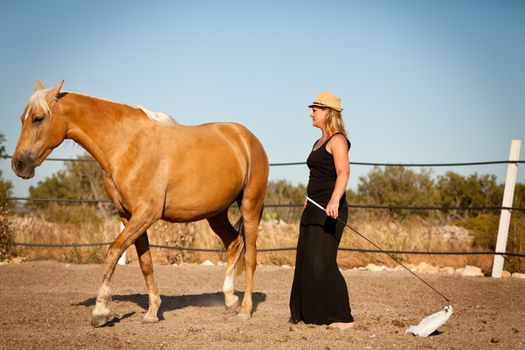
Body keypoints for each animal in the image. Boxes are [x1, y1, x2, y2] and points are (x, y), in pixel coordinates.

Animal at [11, 80, 270, 326]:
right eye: (22, 118)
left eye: (38, 118)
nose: (19, 164)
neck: (126, 145)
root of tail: (246, 137)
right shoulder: (129, 216)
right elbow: (146, 263)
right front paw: (152, 311)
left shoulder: (146, 214)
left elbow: (113, 252)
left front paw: (100, 312)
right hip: (215, 213)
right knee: (234, 243)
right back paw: (230, 300)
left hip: (250, 206)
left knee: (250, 257)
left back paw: (245, 310)